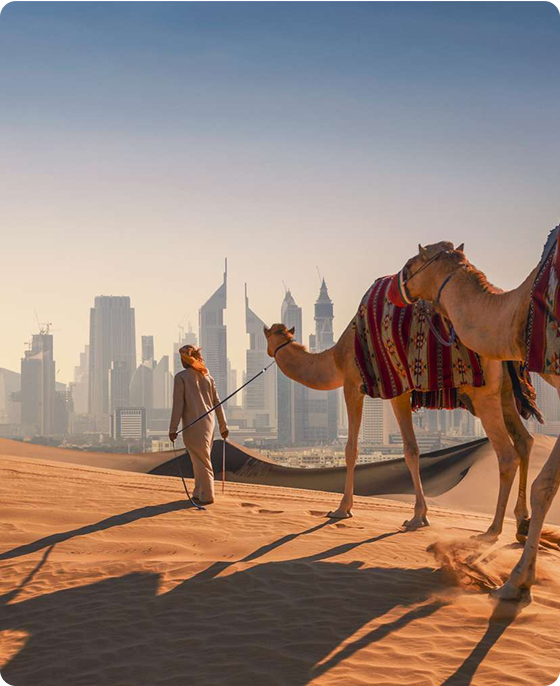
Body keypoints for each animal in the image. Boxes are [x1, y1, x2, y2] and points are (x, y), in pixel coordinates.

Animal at [264, 298, 536, 539]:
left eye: (268, 336)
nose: (268, 351)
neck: (335, 359)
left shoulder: (354, 385)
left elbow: (357, 449)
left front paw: (343, 509)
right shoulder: (397, 391)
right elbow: (411, 449)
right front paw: (420, 515)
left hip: (483, 394)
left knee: (506, 454)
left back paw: (493, 530)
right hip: (505, 392)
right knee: (525, 440)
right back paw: (522, 522)